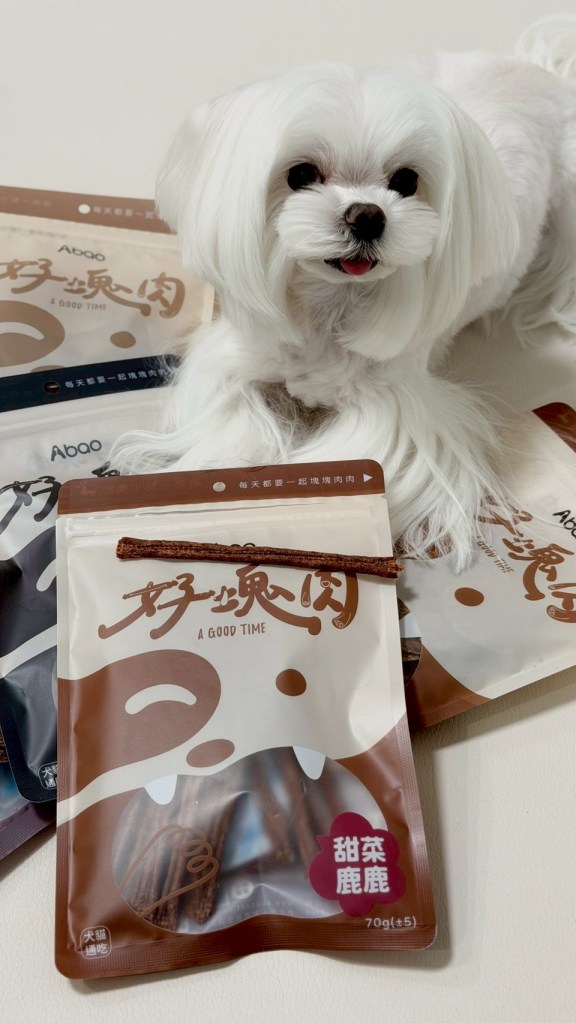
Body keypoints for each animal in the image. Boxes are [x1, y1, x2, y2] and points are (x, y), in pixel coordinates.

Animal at [114, 17, 576, 568]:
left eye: (406, 181)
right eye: (300, 174)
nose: (367, 216)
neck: (328, 314)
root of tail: (539, 69)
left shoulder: (395, 413)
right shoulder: (237, 360)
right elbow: (234, 428)